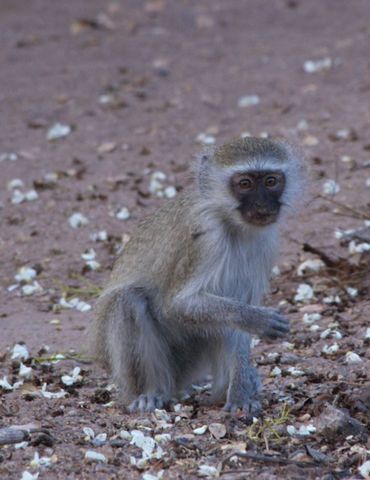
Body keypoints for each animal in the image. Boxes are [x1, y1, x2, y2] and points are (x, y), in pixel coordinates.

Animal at [91, 138, 304, 412]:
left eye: (270, 181)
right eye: (245, 184)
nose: (263, 206)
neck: (231, 223)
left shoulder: (265, 245)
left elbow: (237, 323)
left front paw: (240, 394)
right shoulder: (205, 242)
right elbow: (175, 305)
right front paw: (257, 319)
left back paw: (227, 389)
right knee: (127, 301)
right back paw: (149, 393)